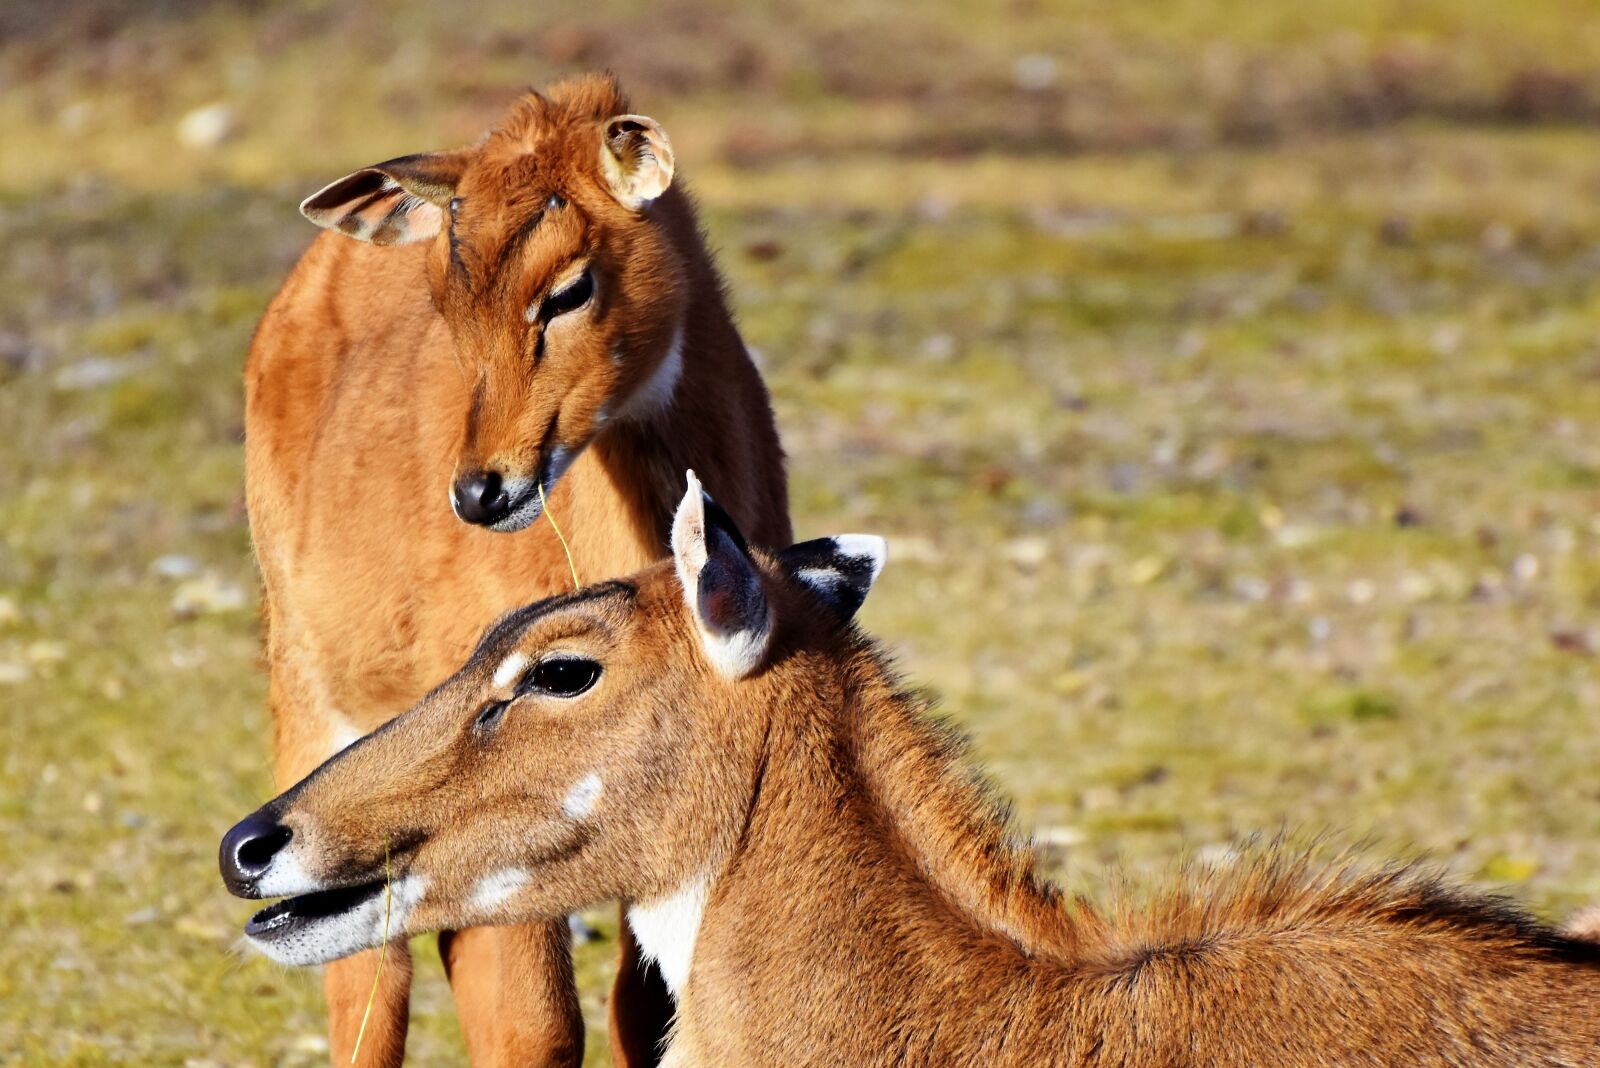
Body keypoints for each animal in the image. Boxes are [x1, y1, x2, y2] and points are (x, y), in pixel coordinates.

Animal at [243, 75, 789, 1066]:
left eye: (570, 286)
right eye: (447, 297)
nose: (482, 489)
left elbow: (647, 1004)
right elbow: (533, 1024)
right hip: (308, 697)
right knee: (369, 978)